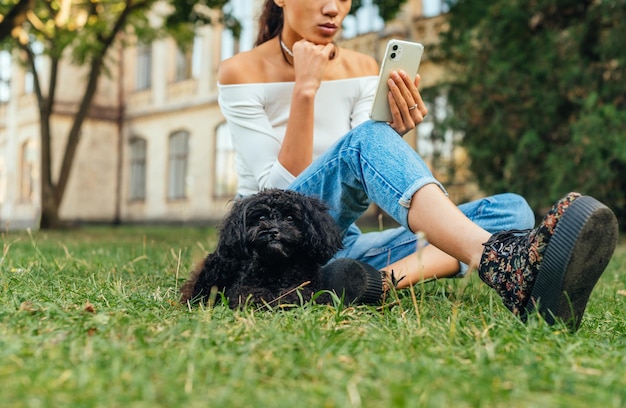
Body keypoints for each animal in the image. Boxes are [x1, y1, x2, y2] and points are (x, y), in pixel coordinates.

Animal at [180, 190, 346, 308]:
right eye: (261, 218)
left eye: (290, 218)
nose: (271, 231)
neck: (278, 264)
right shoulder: (242, 287)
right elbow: (251, 293)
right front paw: (265, 301)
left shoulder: (313, 288)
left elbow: (299, 293)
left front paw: (284, 300)